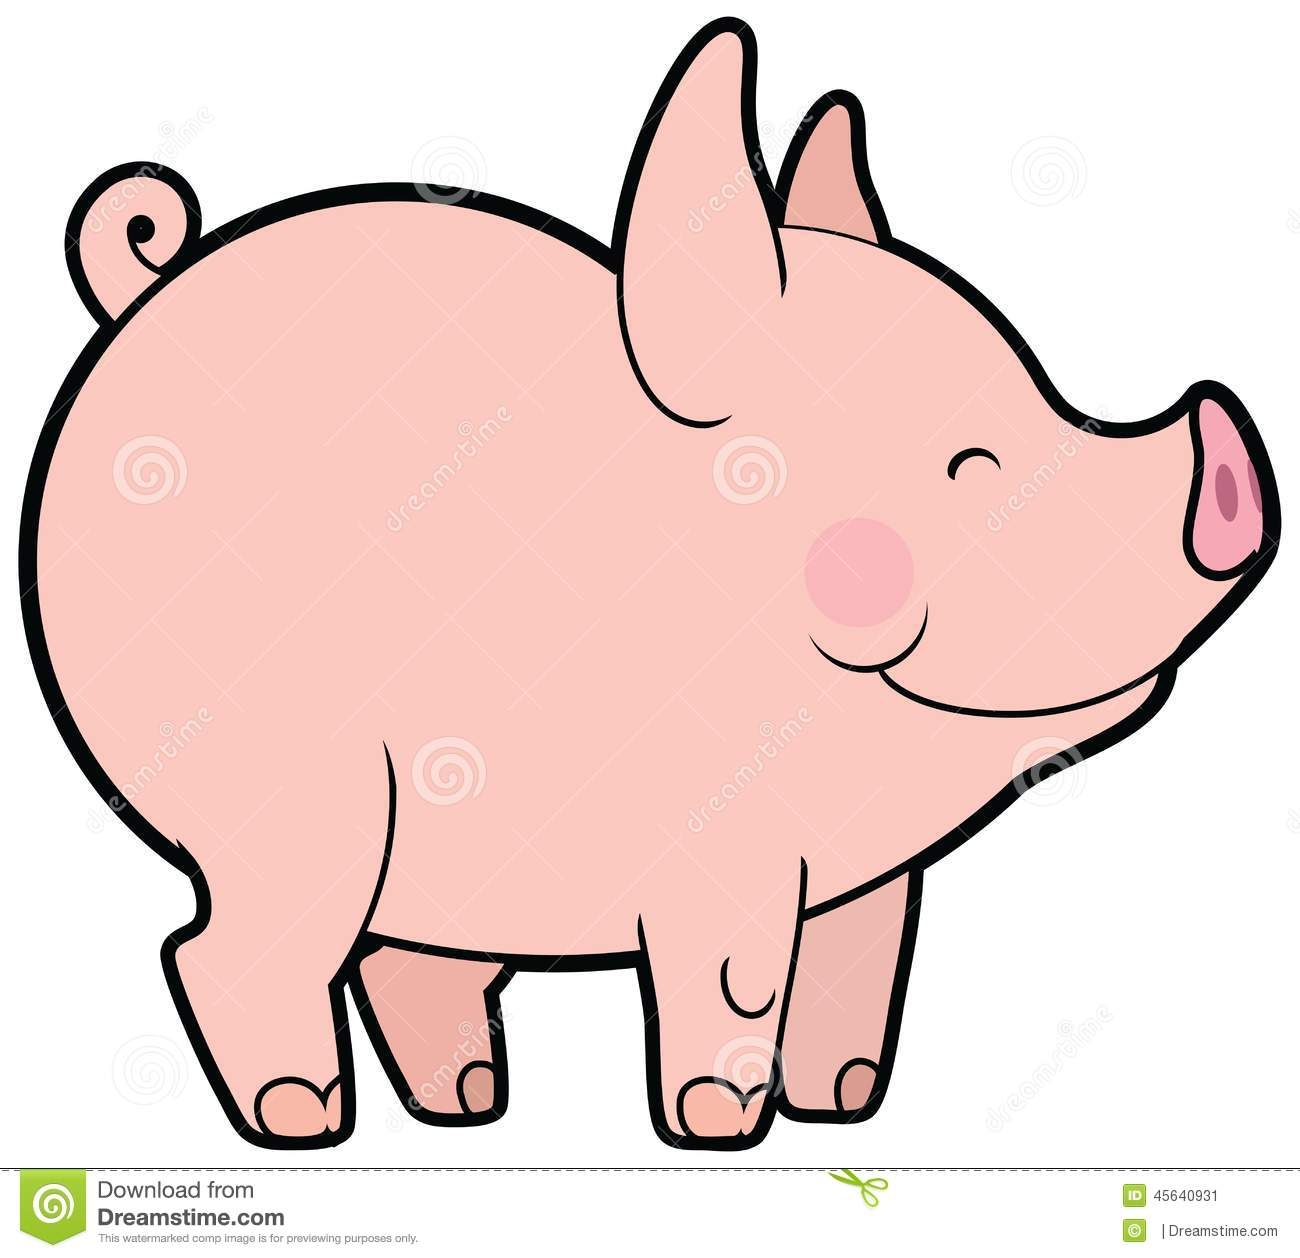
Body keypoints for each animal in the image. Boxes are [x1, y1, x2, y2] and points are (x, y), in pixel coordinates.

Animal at [19, 18, 1279, 1151]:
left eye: (1047, 404)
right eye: (973, 464)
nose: (1230, 457)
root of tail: (144, 286)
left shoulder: (868, 879)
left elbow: (860, 971)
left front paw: (843, 1107)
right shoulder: (716, 842)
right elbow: (732, 982)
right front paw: (718, 1131)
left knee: (404, 953)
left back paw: (468, 1107)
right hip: (288, 784)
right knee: (222, 946)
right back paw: (301, 1124)